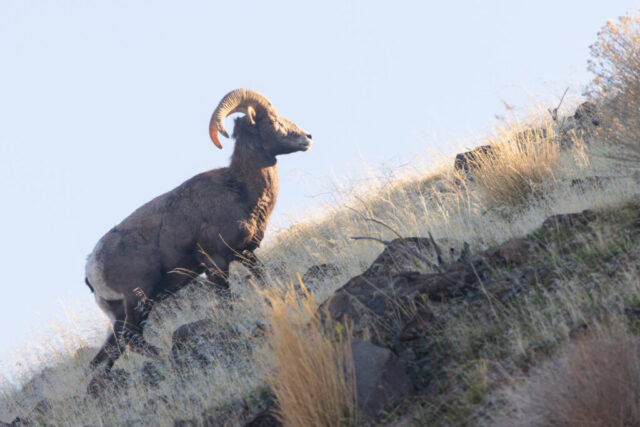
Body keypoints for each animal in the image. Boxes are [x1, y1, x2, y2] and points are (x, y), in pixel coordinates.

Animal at [85, 88, 312, 389]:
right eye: (273, 121)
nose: (307, 138)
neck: (239, 189)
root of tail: (91, 267)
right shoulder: (216, 264)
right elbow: (226, 302)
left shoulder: (246, 255)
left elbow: (262, 278)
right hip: (138, 302)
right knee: (131, 339)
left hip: (122, 312)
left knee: (113, 350)